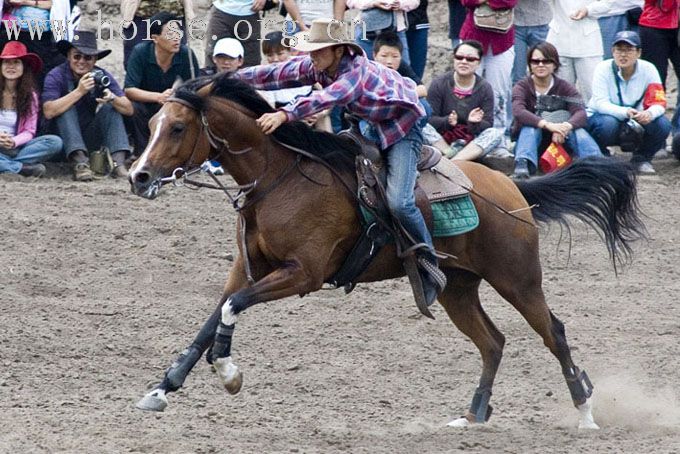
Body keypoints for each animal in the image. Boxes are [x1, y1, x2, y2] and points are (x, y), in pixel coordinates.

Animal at [129, 74, 648, 430]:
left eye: (177, 128)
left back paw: (585, 412)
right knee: (493, 342)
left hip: (518, 280)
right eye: (151, 122)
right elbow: (214, 317)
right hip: (459, 289)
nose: (137, 176)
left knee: (553, 334)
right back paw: (473, 414)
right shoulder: (247, 268)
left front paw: (228, 371)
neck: (280, 178)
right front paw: (162, 388)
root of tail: (513, 189)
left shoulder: (303, 273)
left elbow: (232, 309)